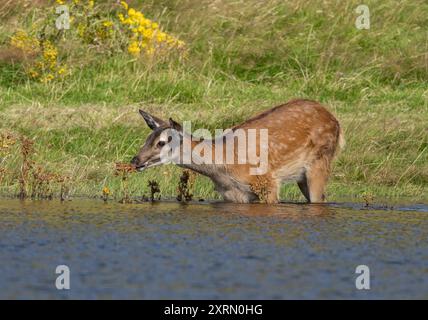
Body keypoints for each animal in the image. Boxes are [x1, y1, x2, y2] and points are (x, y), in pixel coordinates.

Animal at [130, 99, 344, 204]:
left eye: (162, 142)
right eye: (148, 139)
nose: (135, 160)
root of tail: (336, 121)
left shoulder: (268, 184)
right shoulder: (233, 194)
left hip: (321, 160)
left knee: (320, 199)